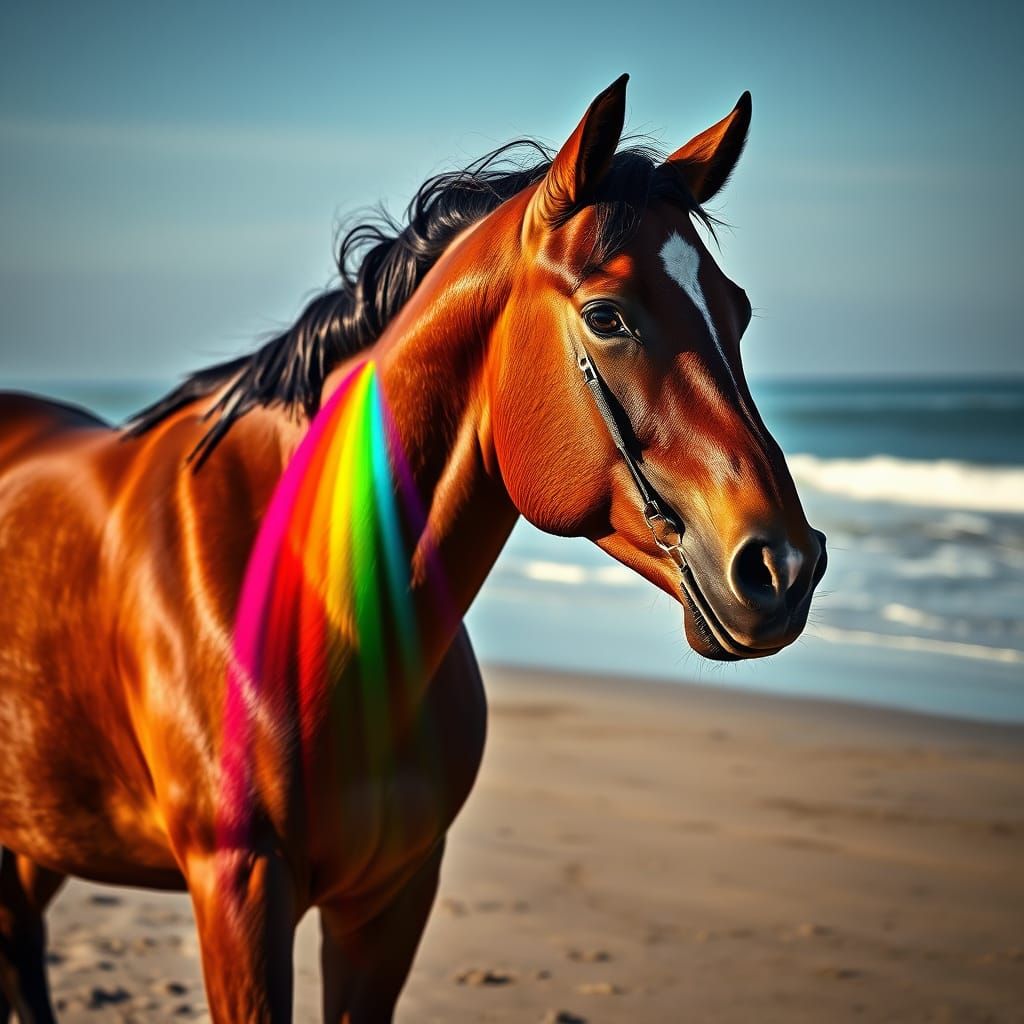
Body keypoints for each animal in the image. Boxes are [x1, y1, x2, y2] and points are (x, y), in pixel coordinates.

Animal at [0, 75, 826, 1022]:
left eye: (739, 311)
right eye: (606, 316)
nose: (785, 567)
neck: (312, 605)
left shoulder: (392, 898)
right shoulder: (237, 893)